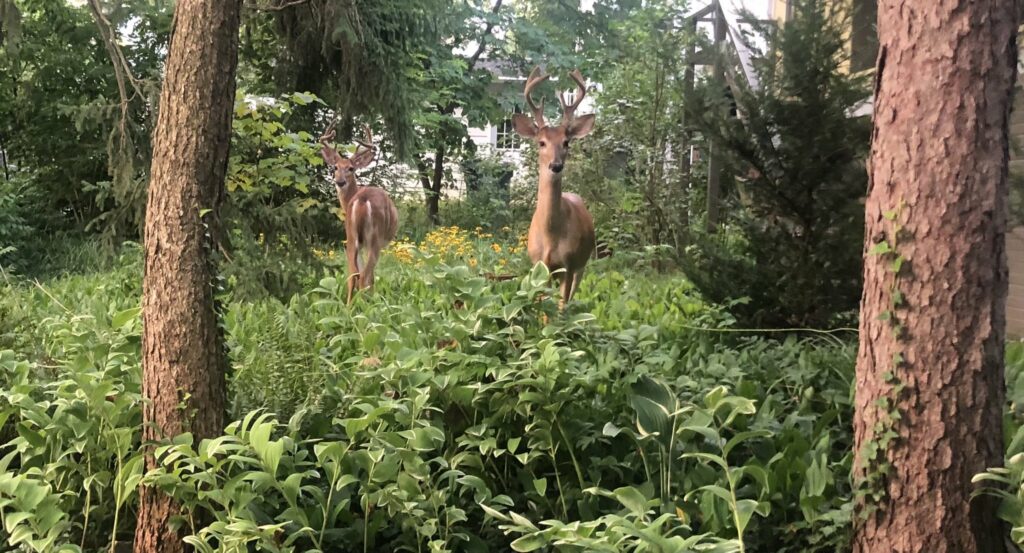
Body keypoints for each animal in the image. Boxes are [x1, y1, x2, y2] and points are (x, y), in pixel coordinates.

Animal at [319, 122, 399, 304]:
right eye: (335, 167)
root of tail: (362, 200)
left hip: (351, 236)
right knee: (363, 276)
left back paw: (349, 307)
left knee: (352, 275)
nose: (340, 181)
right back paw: (365, 307)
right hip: (374, 239)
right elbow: (372, 278)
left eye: (351, 168)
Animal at [511, 67, 596, 308]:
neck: (550, 236)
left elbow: (560, 307)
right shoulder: (539, 266)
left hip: (582, 264)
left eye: (566, 142)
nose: (556, 165)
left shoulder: (568, 264)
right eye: (541, 142)